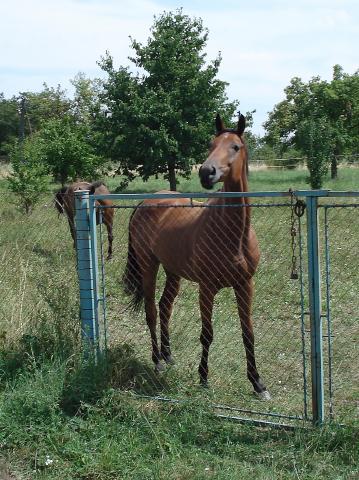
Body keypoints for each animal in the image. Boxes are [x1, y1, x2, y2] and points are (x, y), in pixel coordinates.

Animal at [123, 114, 270, 400]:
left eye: (235, 146)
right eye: (210, 144)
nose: (206, 172)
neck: (233, 235)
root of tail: (146, 202)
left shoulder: (245, 285)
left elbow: (248, 334)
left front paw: (258, 383)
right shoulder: (207, 288)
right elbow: (207, 334)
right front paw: (203, 378)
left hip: (173, 271)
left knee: (164, 307)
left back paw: (168, 355)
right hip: (149, 266)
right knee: (150, 311)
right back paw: (157, 360)